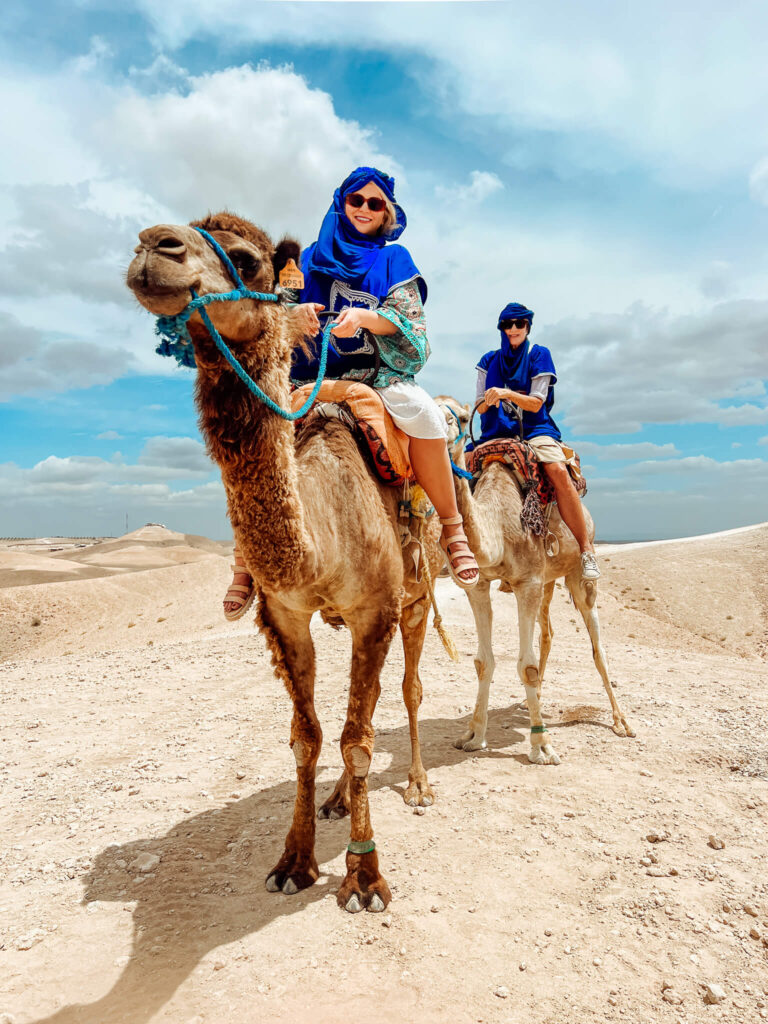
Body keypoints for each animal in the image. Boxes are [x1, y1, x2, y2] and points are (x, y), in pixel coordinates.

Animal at [126, 214, 444, 913]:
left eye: (246, 260)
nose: (152, 246)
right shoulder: (286, 617)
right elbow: (310, 737)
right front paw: (295, 861)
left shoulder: (376, 608)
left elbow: (357, 739)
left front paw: (365, 876)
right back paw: (337, 802)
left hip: (417, 597)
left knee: (406, 691)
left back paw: (417, 784)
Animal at [436, 395, 634, 765]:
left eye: (464, 416)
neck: (497, 526)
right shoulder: (479, 585)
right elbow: (483, 662)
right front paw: (473, 735)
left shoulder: (526, 581)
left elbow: (525, 666)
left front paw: (541, 746)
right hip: (548, 580)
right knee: (548, 633)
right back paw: (537, 698)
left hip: (577, 574)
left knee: (597, 646)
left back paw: (621, 721)